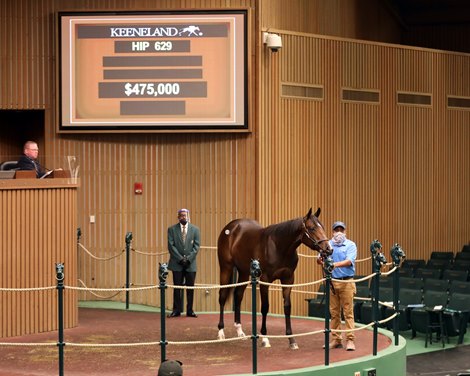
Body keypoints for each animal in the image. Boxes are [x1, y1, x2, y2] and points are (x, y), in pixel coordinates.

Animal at [217, 207, 330, 348]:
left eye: (323, 227)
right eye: (312, 228)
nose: (328, 249)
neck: (278, 246)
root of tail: (231, 227)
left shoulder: (288, 279)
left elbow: (287, 307)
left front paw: (291, 339)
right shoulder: (264, 280)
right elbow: (265, 307)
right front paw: (265, 338)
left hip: (243, 272)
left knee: (238, 296)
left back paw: (240, 331)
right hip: (225, 268)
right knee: (222, 296)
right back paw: (221, 332)